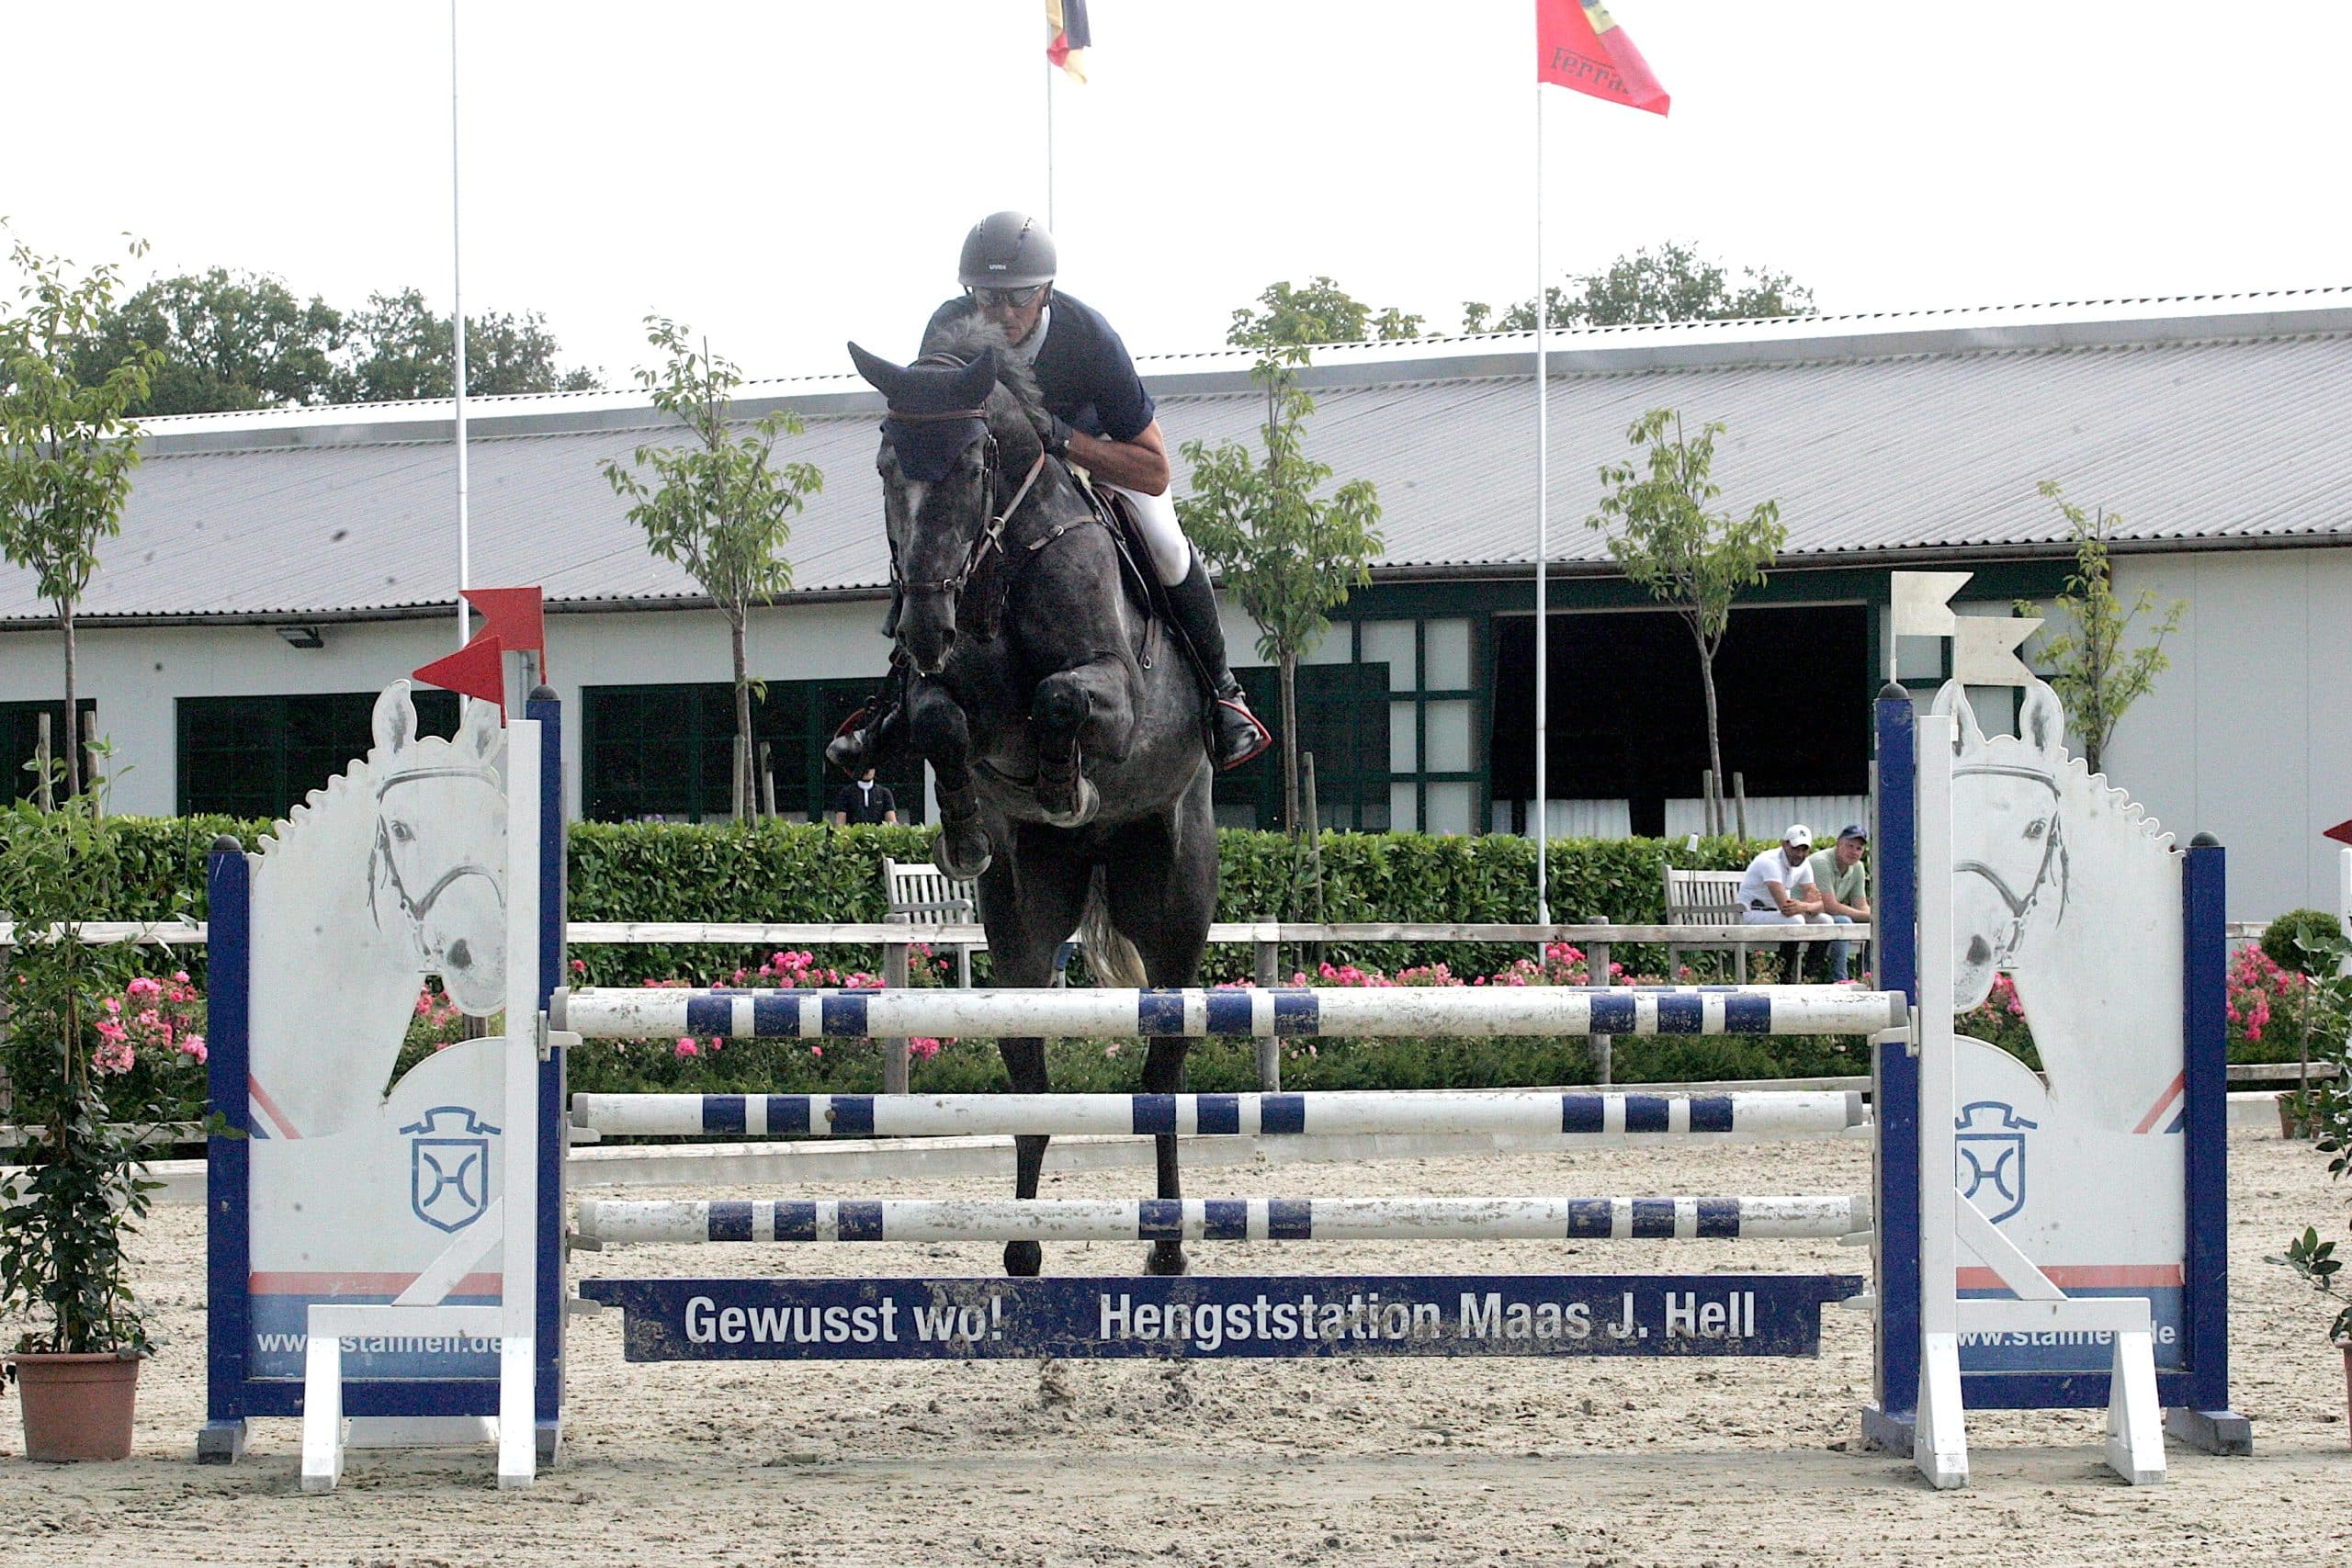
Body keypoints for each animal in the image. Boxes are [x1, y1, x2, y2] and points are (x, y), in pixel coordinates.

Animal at [846, 314, 1213, 1279]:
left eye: (974, 465)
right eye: (886, 463)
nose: (922, 625)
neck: (999, 562)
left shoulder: (1118, 697)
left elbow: (1060, 701)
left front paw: (1063, 779)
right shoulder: (942, 697)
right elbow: (938, 719)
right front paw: (967, 830)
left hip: (1173, 904)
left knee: (1162, 1074)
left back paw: (1167, 1248)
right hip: (1022, 920)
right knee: (1030, 1074)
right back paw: (1020, 1246)